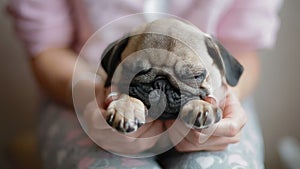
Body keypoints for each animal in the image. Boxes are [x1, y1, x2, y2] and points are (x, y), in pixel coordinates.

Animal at [101, 17, 244, 133]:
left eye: (195, 76)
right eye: (135, 71)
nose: (161, 83)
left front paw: (201, 106)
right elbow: (126, 95)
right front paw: (126, 109)